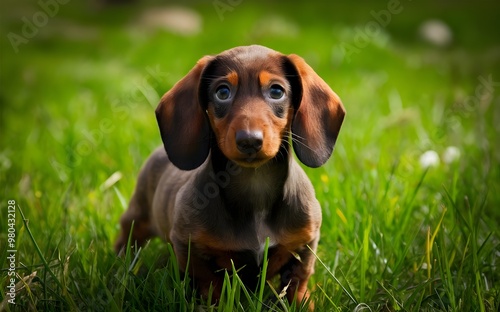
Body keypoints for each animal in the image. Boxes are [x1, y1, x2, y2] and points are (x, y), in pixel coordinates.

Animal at [115, 44, 346, 308]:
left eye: (277, 91)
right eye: (222, 92)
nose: (249, 141)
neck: (254, 185)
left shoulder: (305, 243)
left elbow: (298, 282)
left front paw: (301, 303)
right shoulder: (188, 245)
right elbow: (208, 282)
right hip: (137, 216)